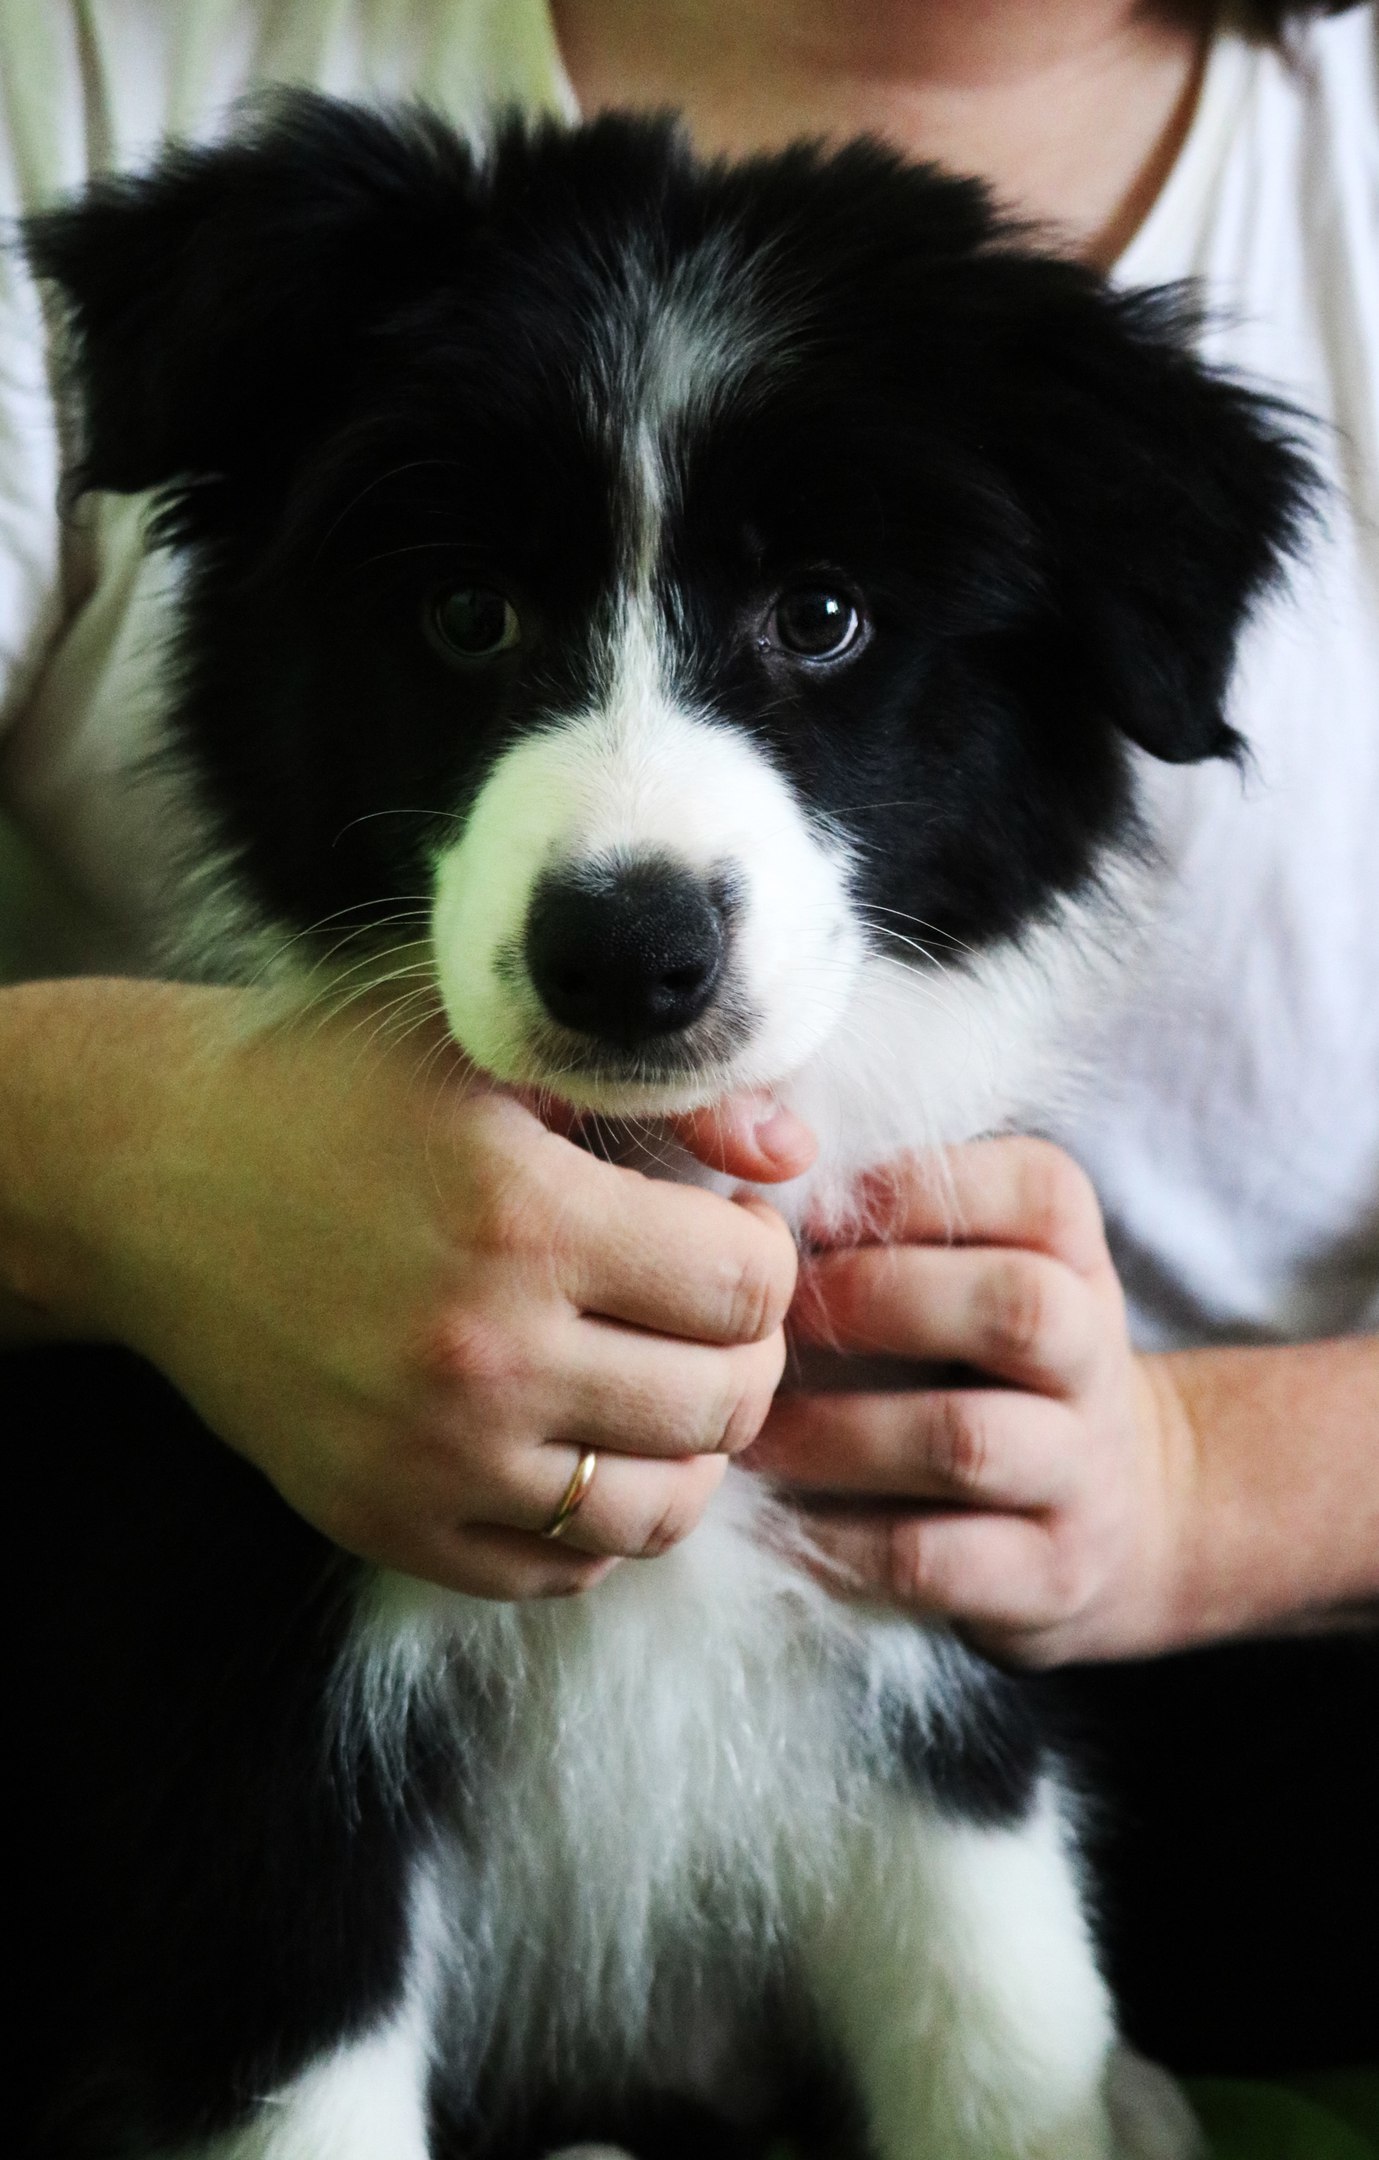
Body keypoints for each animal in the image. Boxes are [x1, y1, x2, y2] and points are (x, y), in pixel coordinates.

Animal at [16, 92, 1305, 2160]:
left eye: (823, 615)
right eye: (465, 613)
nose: (626, 952)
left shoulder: (922, 1649)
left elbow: (998, 2030)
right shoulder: (258, 1731)